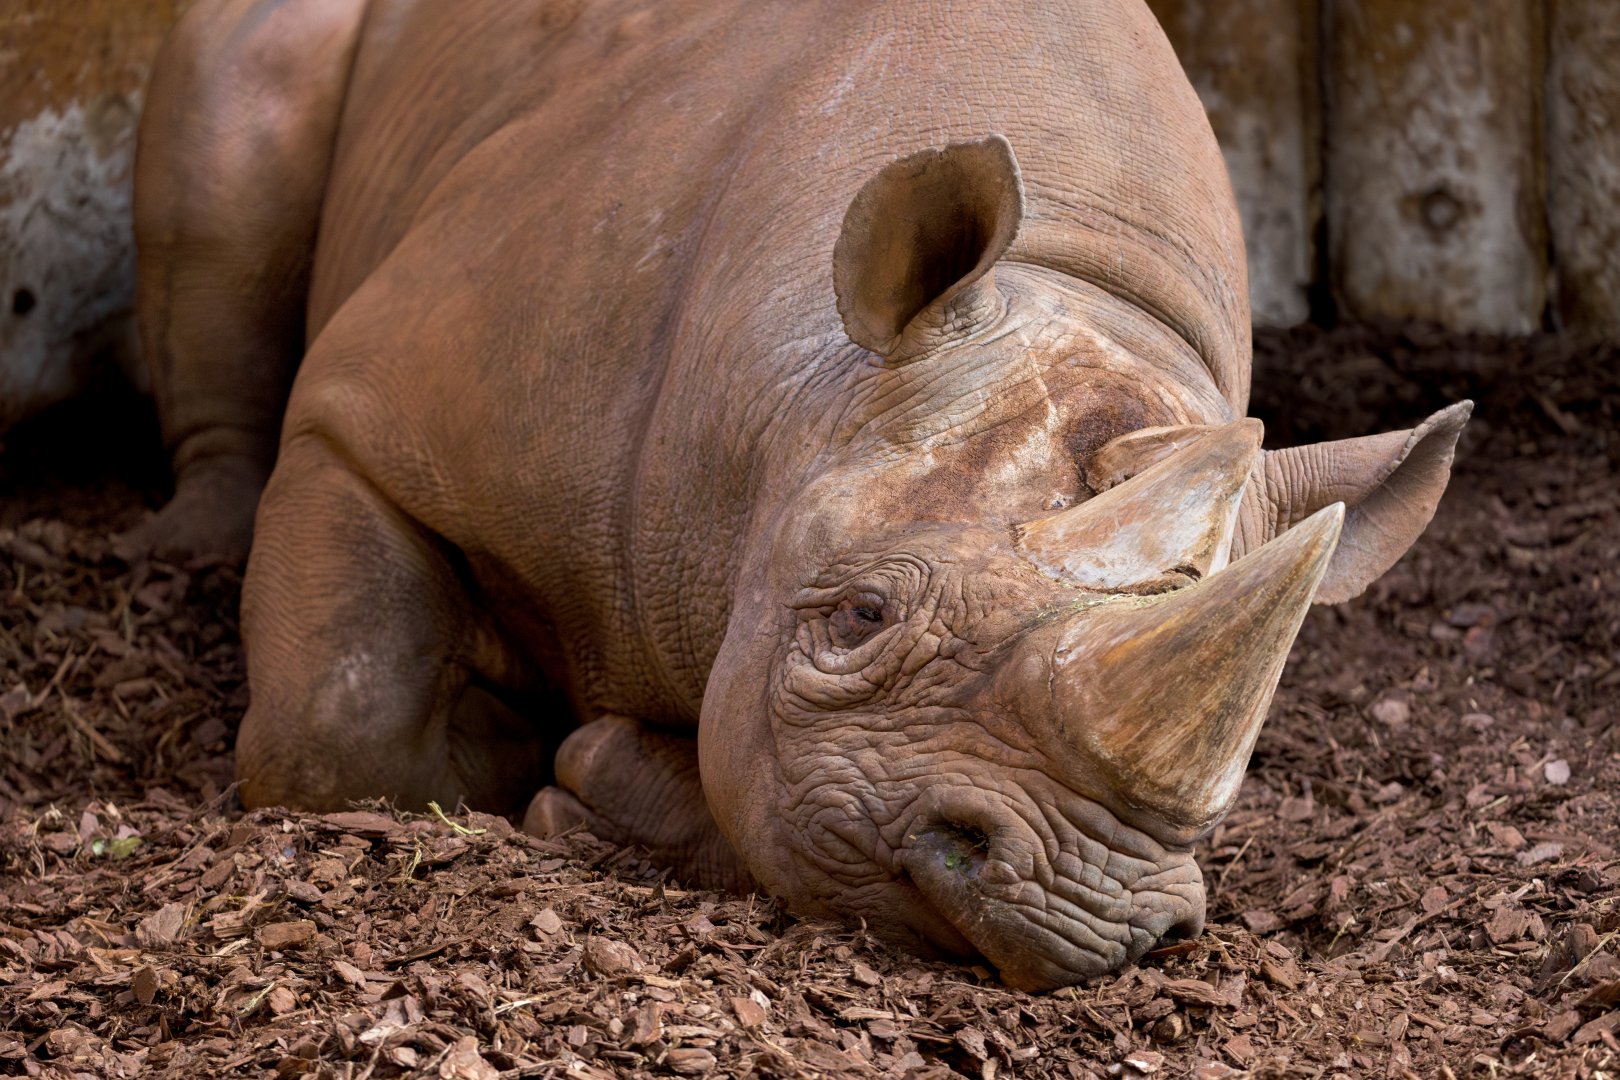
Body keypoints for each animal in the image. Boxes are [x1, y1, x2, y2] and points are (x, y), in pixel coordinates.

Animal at [128, 0, 1468, 989]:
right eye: (861, 619)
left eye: (1251, 746)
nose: (1085, 907)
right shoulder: (365, 416)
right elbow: (339, 715)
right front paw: (509, 728)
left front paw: (589, 776)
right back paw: (189, 544)